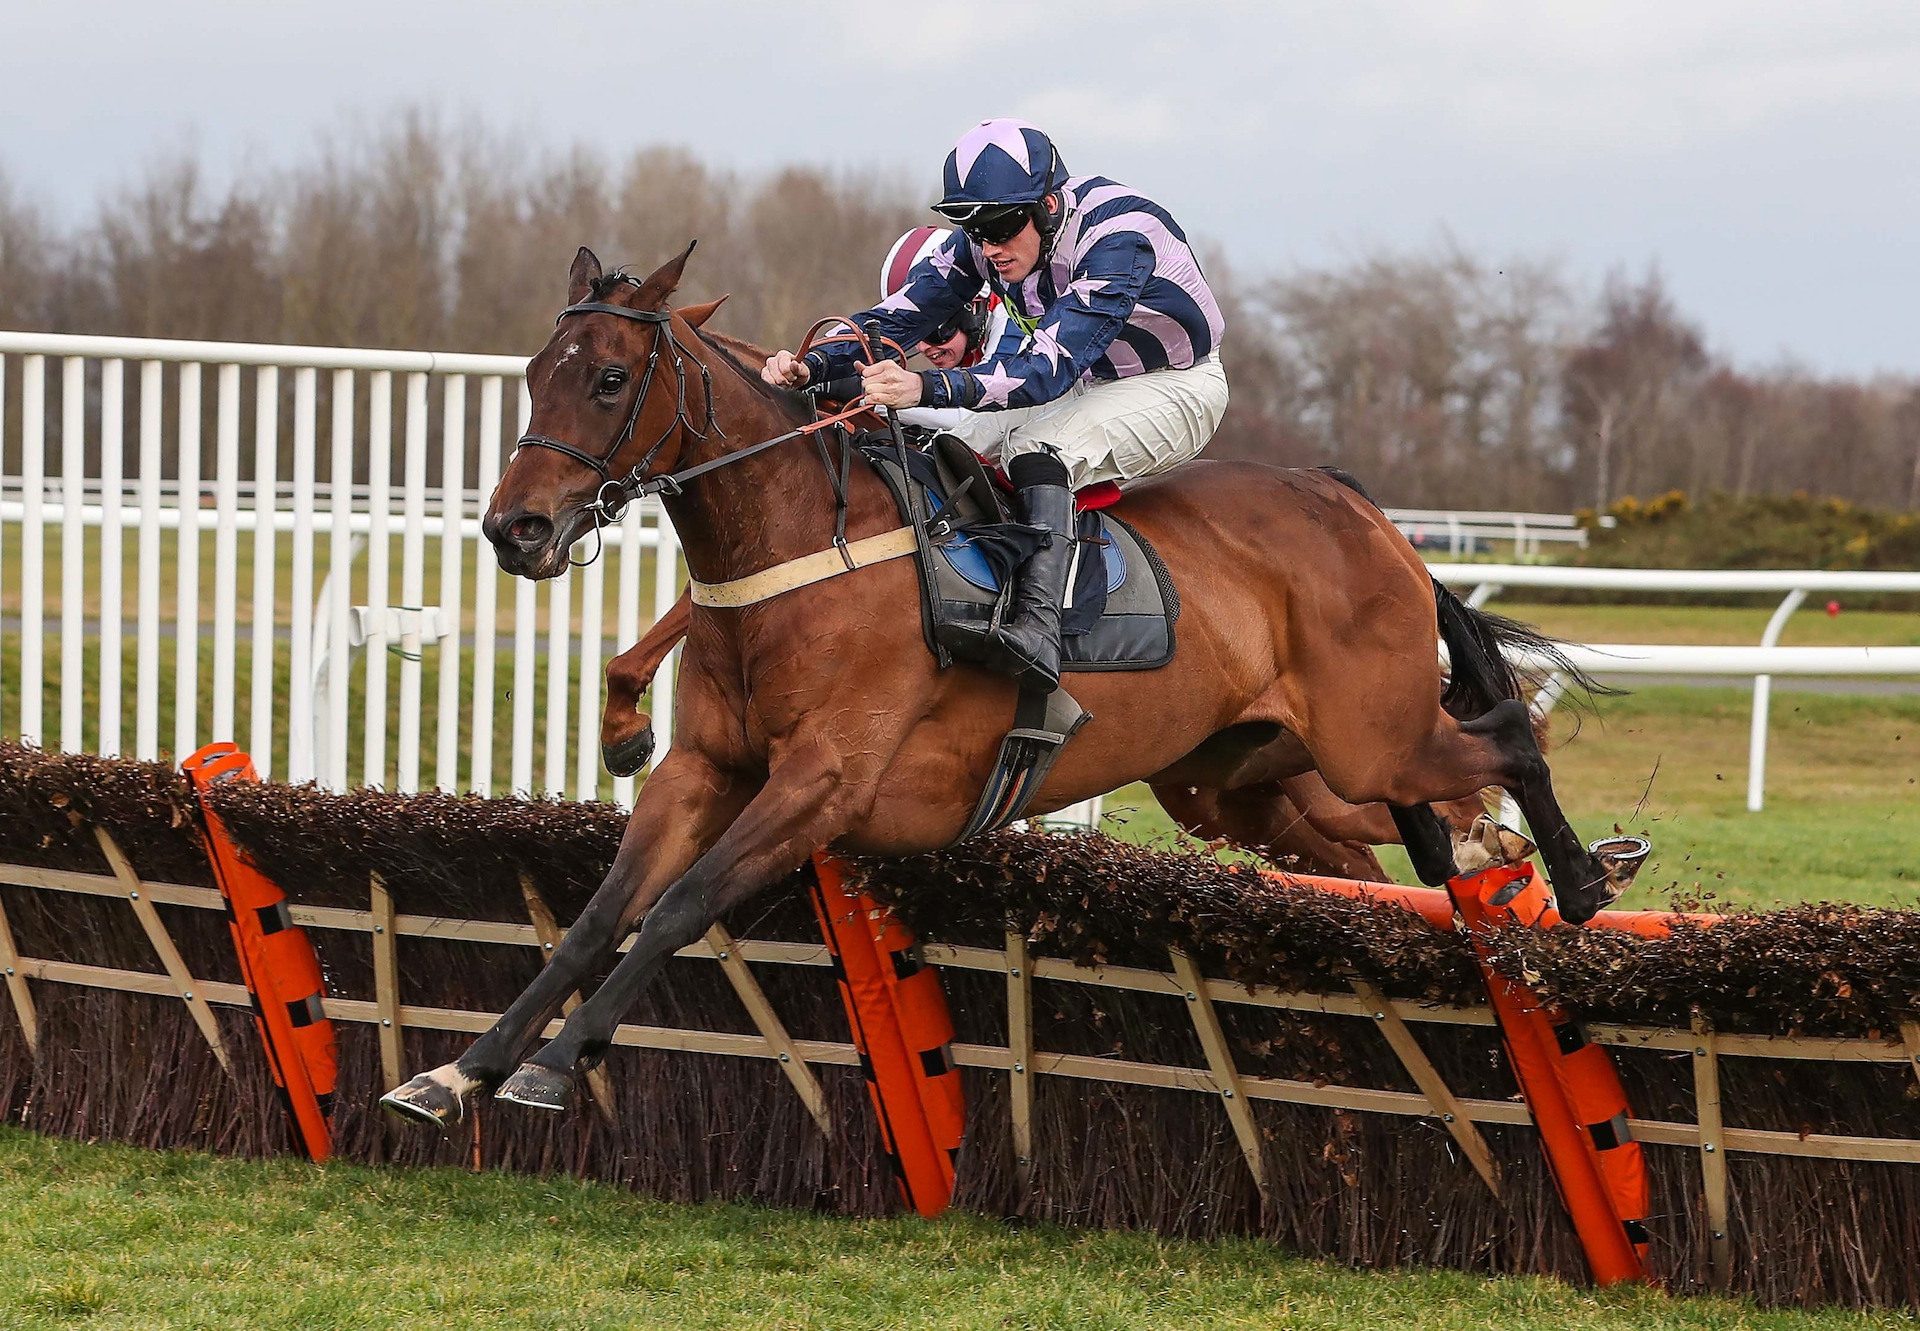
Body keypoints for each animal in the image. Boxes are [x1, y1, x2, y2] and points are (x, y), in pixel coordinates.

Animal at [382, 241, 1628, 1121]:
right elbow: (599, 913)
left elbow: (681, 905)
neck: (800, 548)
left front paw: (553, 1065)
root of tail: (1356, 505)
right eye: (532, 375)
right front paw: (463, 1068)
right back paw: (1496, 868)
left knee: (1505, 733)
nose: (513, 529)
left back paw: (1571, 873)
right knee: (1379, 855)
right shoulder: (705, 767)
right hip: (1245, 784)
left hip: (1373, 739)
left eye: (606, 377)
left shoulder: (820, 784)